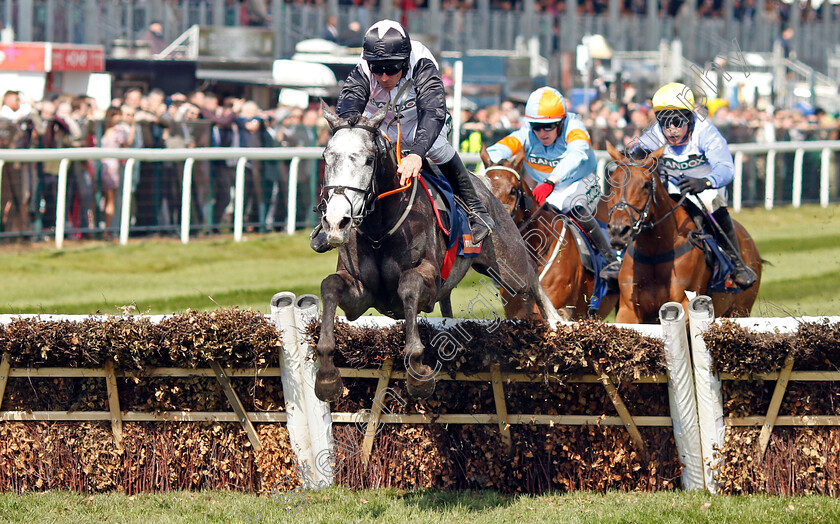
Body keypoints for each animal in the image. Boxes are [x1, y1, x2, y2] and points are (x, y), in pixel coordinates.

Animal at [312, 102, 560, 402]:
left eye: (369, 159)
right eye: (326, 157)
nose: (337, 221)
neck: (379, 230)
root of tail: (486, 185)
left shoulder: (427, 279)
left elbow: (408, 285)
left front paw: (417, 371)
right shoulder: (361, 295)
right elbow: (330, 285)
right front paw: (327, 375)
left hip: (511, 267)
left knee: (533, 282)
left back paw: (557, 323)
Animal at [604, 143, 760, 324]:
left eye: (646, 185)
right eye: (611, 184)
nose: (618, 230)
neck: (655, 253)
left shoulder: (685, 303)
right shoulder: (628, 310)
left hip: (740, 310)